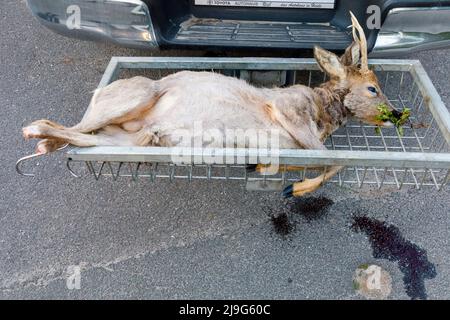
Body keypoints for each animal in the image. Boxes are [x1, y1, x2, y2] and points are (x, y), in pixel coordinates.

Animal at [22, 13, 400, 198]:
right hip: (139, 93)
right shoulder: (287, 107)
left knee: (86, 135)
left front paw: (265, 169)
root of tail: (99, 93)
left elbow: (320, 160)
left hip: (123, 137)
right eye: (372, 88)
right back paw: (35, 133)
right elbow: (333, 159)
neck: (323, 112)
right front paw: (294, 189)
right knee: (69, 126)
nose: (395, 114)